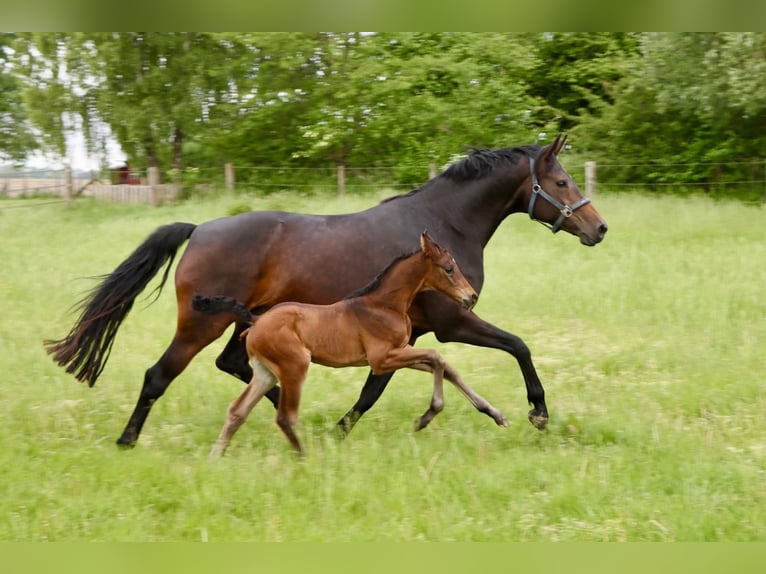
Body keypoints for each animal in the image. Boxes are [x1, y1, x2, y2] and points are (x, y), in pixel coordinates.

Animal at [195, 232, 510, 456]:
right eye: (448, 268)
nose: (470, 297)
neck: (384, 304)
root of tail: (256, 321)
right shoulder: (382, 358)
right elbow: (436, 356)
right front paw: (427, 416)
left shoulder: (399, 353)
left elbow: (444, 365)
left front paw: (496, 415)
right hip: (294, 366)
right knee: (285, 416)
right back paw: (308, 459)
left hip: (265, 372)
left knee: (238, 411)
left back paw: (215, 458)